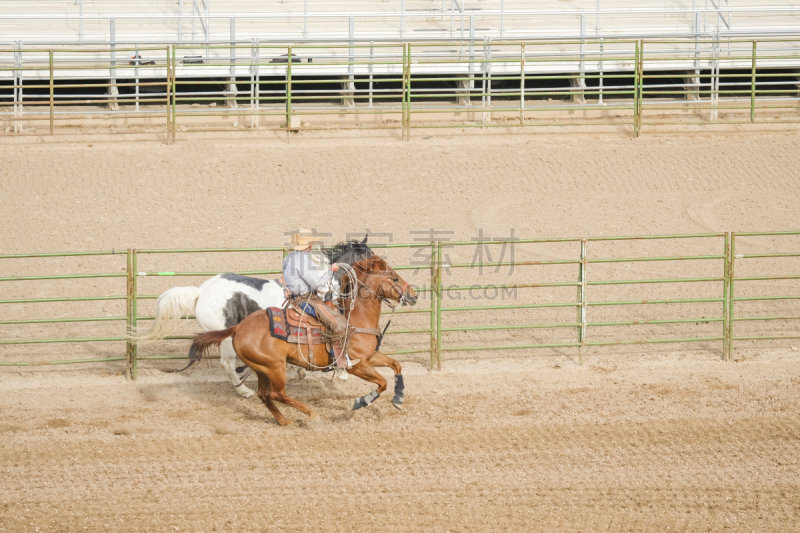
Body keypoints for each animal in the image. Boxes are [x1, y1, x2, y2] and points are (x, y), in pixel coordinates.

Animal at [131, 239, 376, 396]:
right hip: (226, 339)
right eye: (372, 257)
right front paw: (341, 372)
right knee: (227, 364)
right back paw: (244, 391)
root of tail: (201, 292)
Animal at [182, 256, 418, 426]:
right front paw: (361, 401)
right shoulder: (357, 365)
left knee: (265, 395)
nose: (414, 295)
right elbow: (382, 382)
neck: (355, 318)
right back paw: (311, 414)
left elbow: (396, 365)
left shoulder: (371, 357)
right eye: (394, 278)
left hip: (262, 368)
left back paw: (284, 420)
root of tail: (239, 327)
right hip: (276, 367)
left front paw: (398, 399)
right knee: (276, 393)